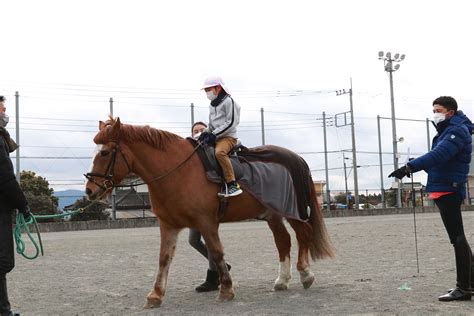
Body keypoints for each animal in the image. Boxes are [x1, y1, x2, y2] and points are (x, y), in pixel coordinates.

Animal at [85, 117, 336, 308]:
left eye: (105, 153)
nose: (90, 190)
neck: (178, 171)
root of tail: (294, 157)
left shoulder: (206, 222)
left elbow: (216, 252)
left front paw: (226, 289)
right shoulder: (168, 225)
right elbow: (164, 258)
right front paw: (155, 295)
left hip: (291, 210)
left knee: (303, 234)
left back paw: (305, 274)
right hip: (272, 214)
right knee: (283, 241)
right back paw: (282, 280)